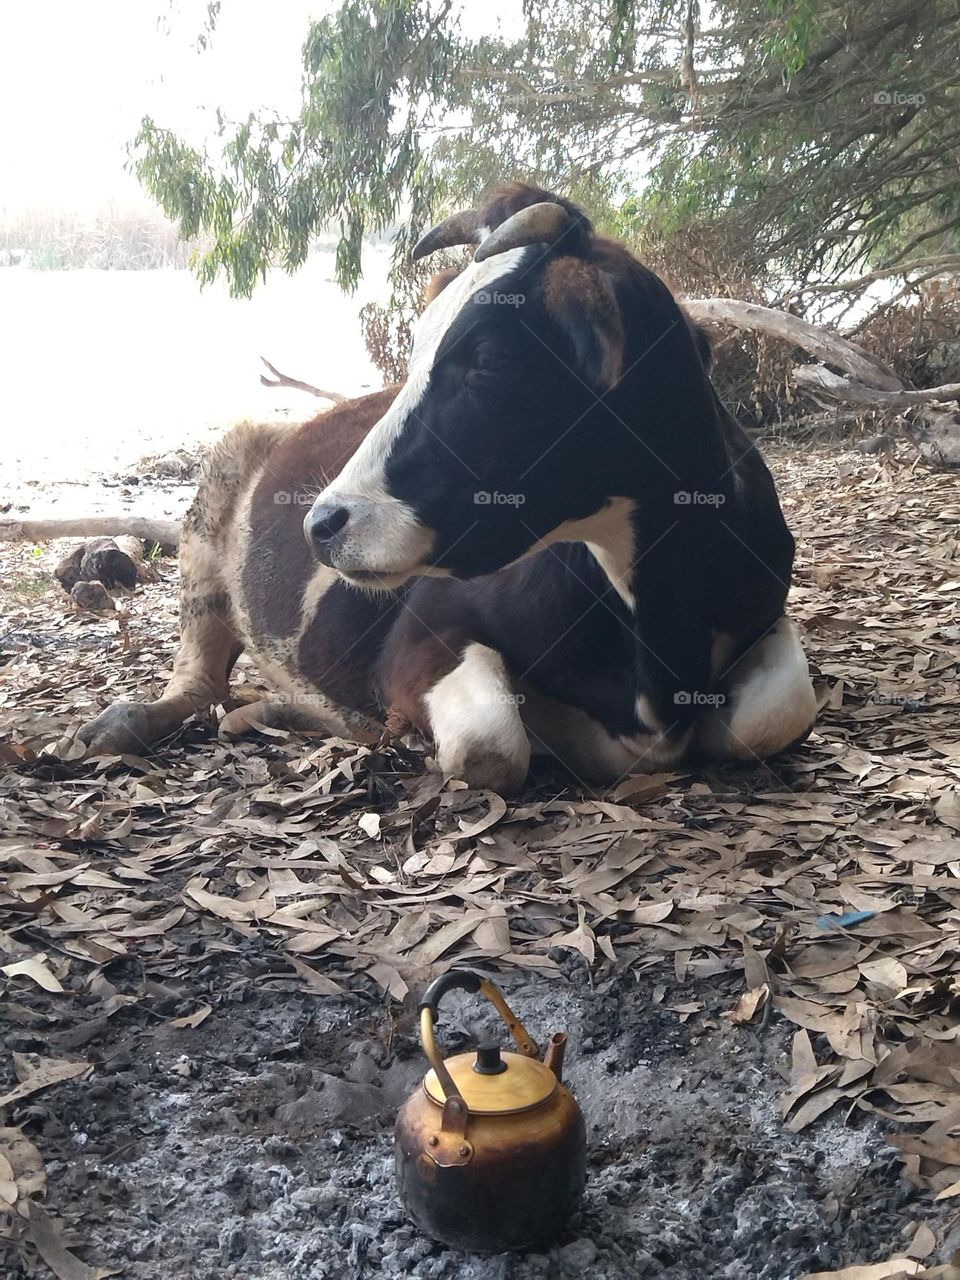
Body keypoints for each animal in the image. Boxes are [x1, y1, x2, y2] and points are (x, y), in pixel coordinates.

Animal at [71, 184, 814, 793]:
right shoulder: (423, 635)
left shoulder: (766, 606)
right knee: (197, 679)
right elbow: (491, 746)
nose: (321, 524)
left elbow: (777, 713)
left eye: (487, 360)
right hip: (213, 496)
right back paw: (123, 723)